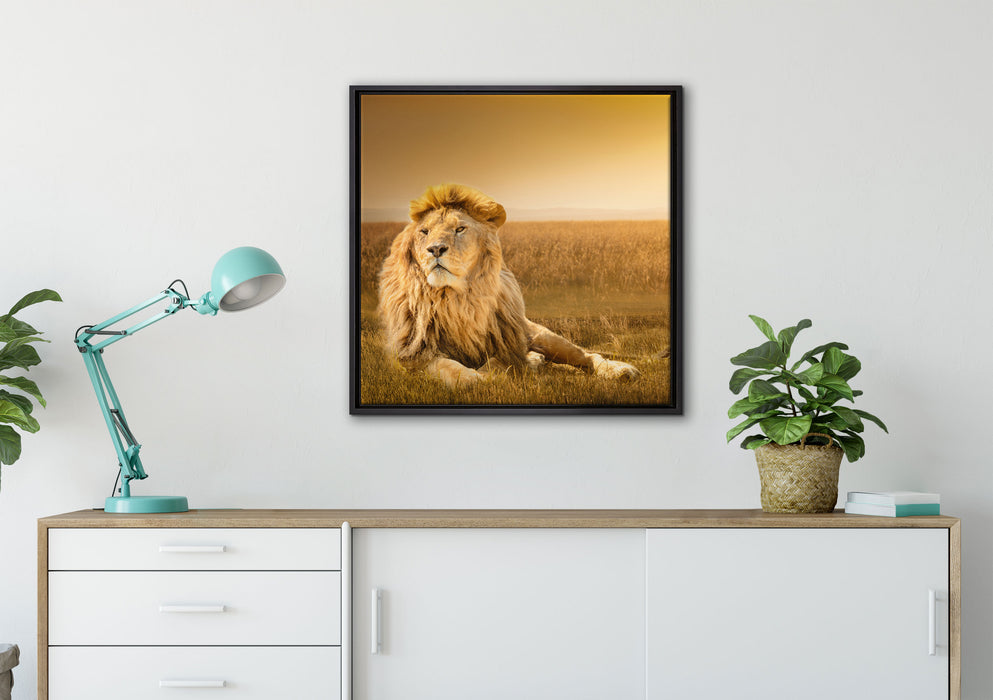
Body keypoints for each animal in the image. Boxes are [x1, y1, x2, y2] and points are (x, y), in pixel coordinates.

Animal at [377, 183, 641, 388]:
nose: (435, 249)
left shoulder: (507, 343)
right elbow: (451, 369)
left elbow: (499, 362)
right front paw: (477, 378)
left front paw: (502, 370)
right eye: (424, 231)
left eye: (460, 229)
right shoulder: (413, 354)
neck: (456, 299)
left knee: (587, 355)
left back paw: (620, 370)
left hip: (542, 335)